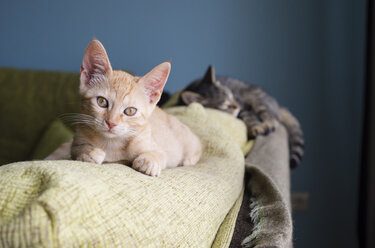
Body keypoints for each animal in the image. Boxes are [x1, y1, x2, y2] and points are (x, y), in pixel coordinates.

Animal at [70, 39, 201, 176]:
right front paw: (89, 152)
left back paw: (188, 160)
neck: (112, 144)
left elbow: (159, 155)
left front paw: (148, 161)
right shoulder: (77, 139)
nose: (111, 123)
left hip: (188, 140)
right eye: (101, 102)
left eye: (130, 111)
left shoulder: (155, 145)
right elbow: (76, 148)